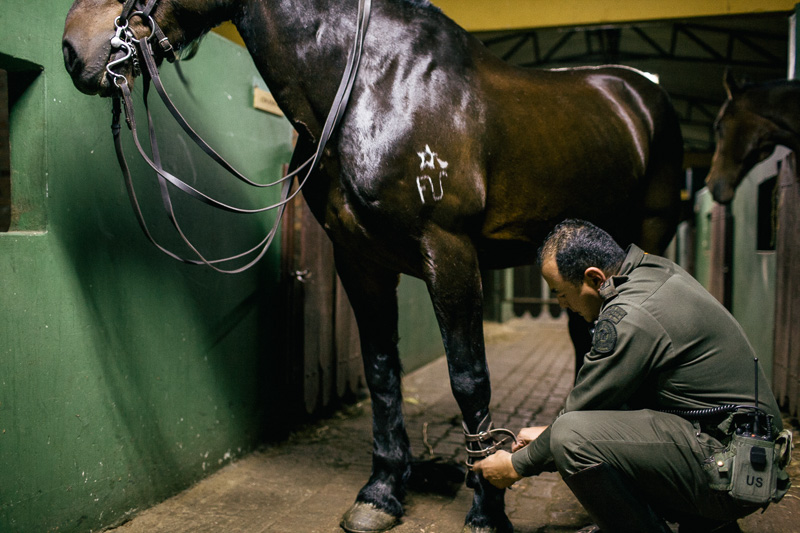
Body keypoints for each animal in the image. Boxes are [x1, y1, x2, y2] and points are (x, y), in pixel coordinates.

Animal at [62, 2, 684, 528]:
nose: (73, 46)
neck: (373, 83)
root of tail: (640, 92)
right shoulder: (359, 260)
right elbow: (383, 372)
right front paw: (382, 494)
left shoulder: (449, 253)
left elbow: (470, 379)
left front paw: (487, 506)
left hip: (643, 239)